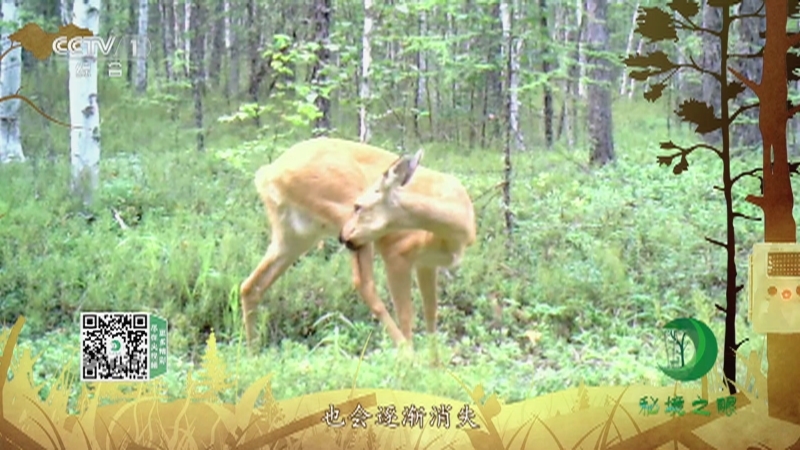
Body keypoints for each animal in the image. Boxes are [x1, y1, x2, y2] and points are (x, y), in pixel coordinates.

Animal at [239, 137, 476, 362]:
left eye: (359, 206)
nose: (342, 237)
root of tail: (268, 174)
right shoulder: (398, 253)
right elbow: (407, 313)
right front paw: (414, 364)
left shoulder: (427, 263)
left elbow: (431, 313)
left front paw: (436, 367)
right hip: (344, 213)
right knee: (363, 283)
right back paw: (406, 353)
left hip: (293, 236)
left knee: (250, 286)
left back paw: (253, 355)